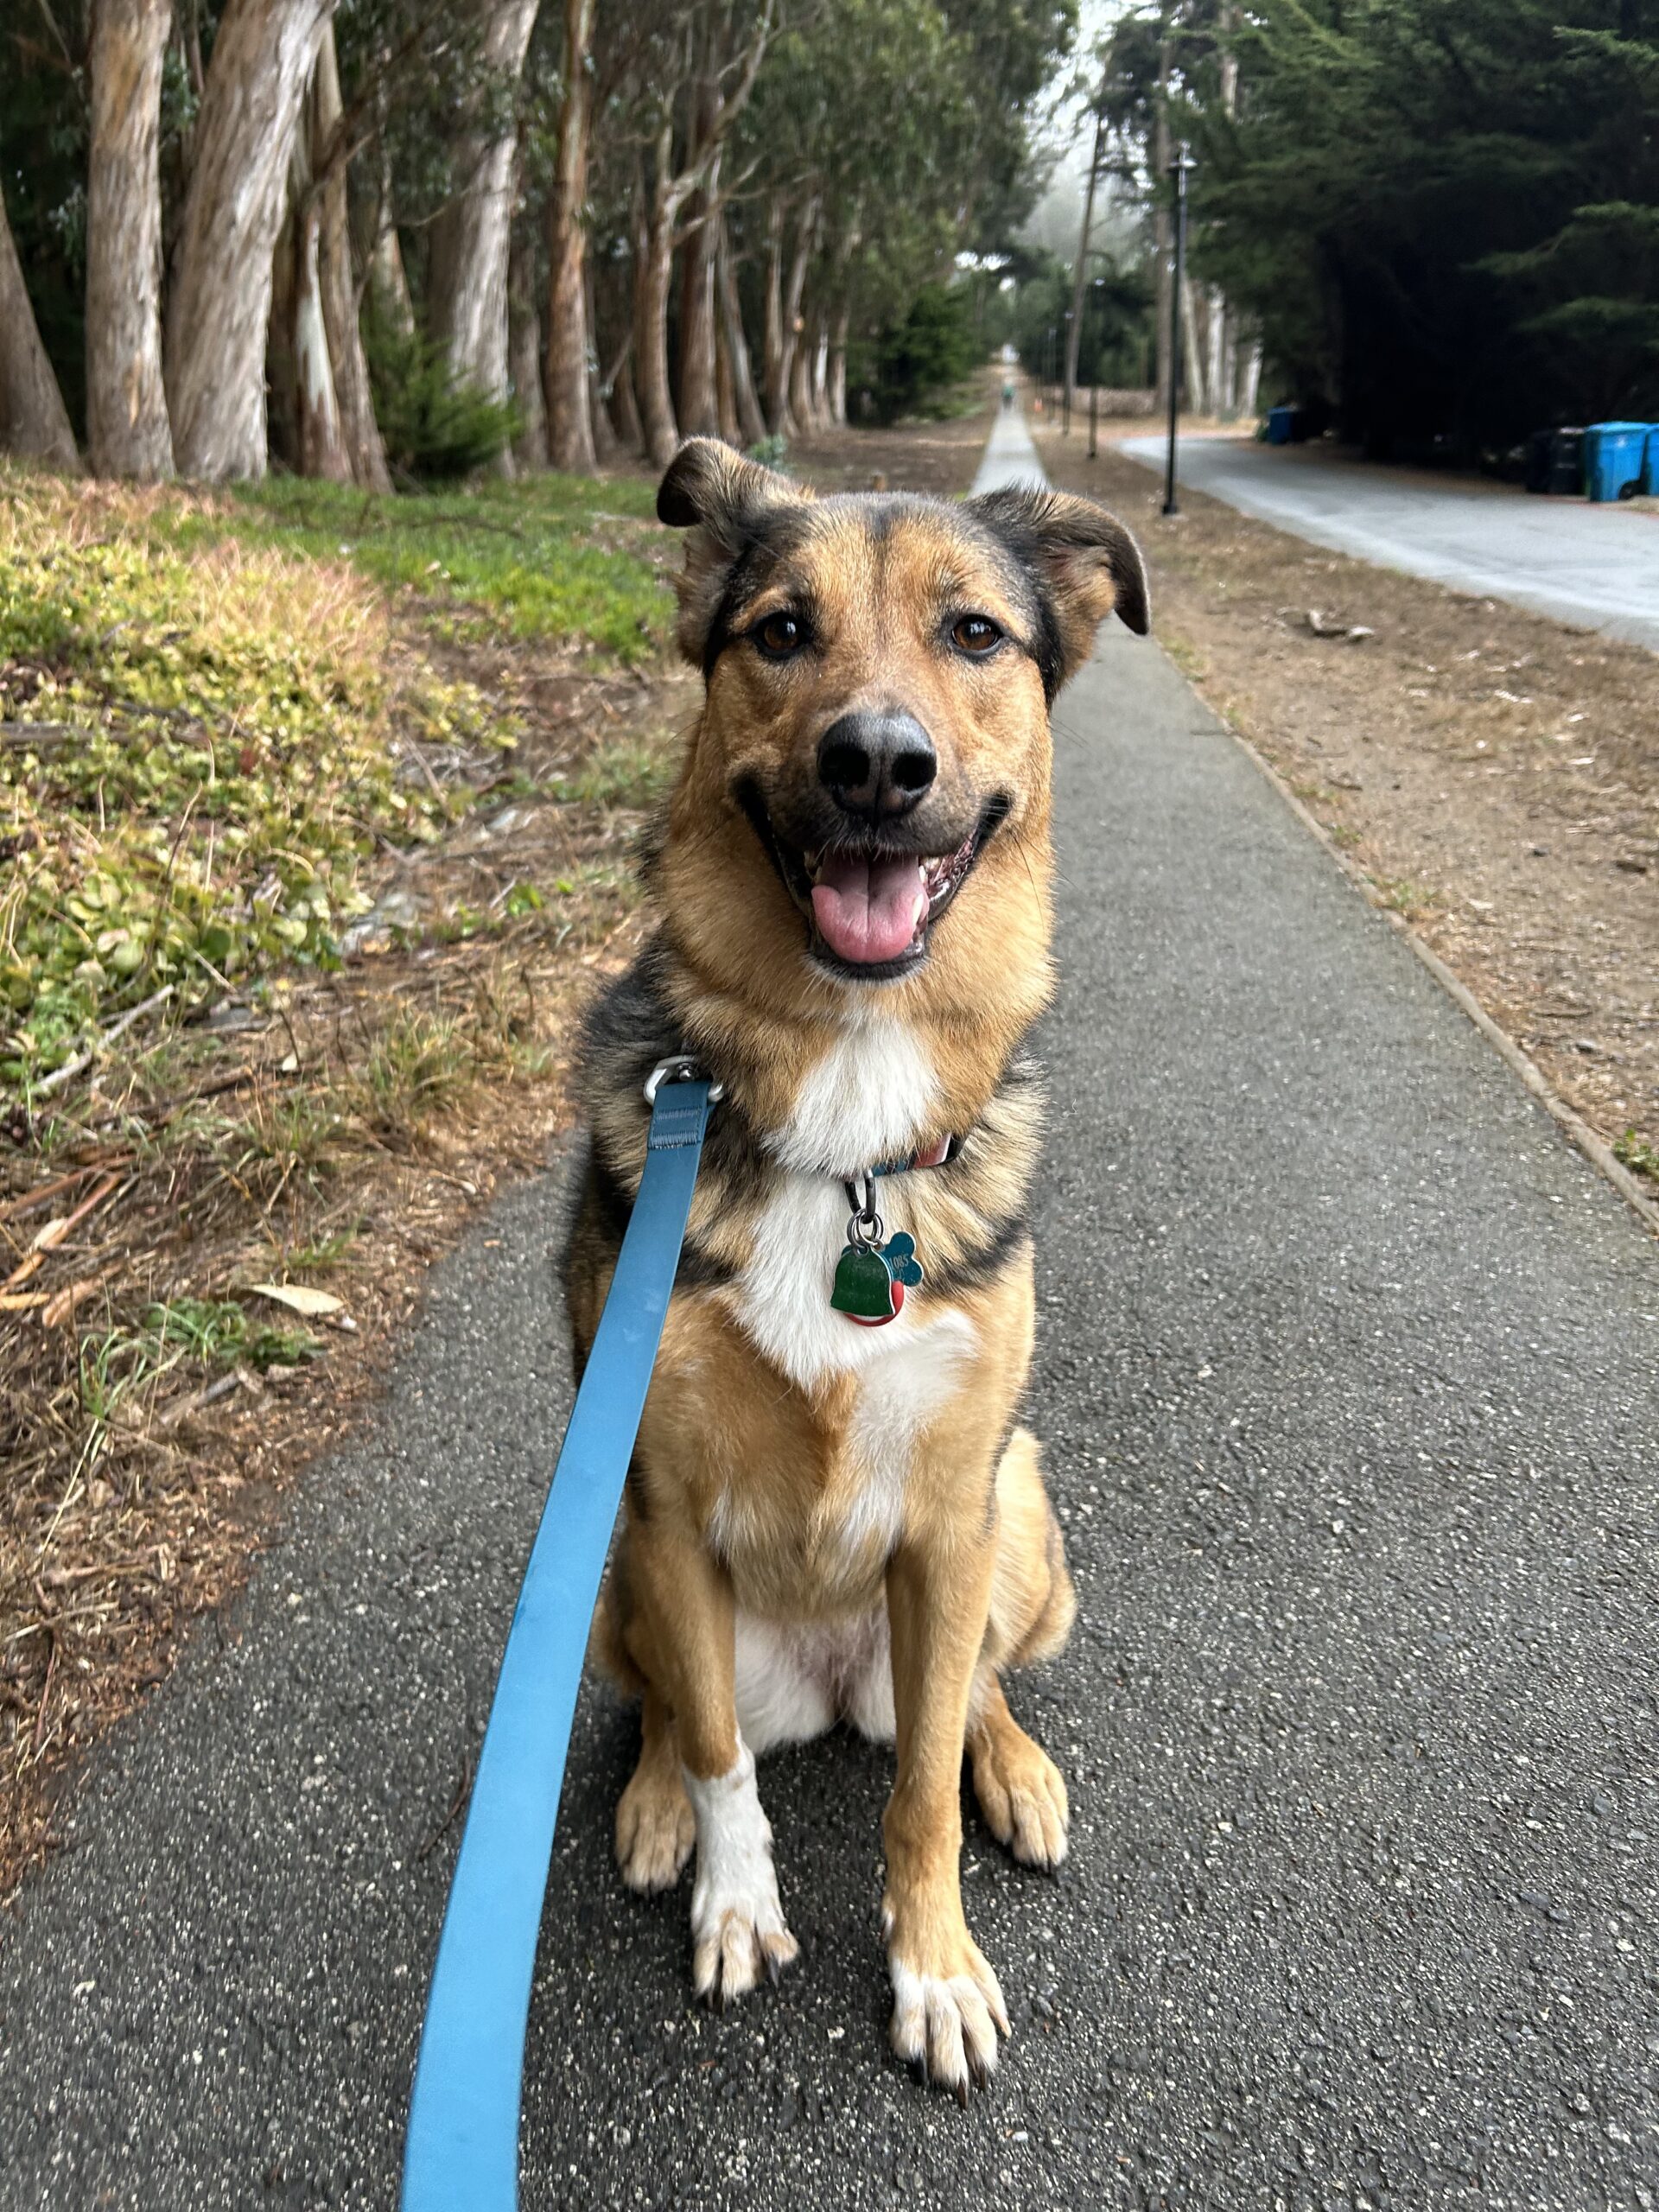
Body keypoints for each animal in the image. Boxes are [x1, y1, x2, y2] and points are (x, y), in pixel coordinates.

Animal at [566, 427, 1150, 2088]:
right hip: (610, 1571)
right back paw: (645, 1805)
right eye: (780, 632)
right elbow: (714, 1754)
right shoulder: (658, 1505)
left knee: (969, 1702)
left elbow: (918, 1803)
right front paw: (730, 1897)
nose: (878, 765)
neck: (848, 1126)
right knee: (670, 1711)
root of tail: (832, 1682)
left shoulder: (950, 1521)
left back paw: (1014, 1769)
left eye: (977, 634)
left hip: (1020, 1515)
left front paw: (933, 1966)